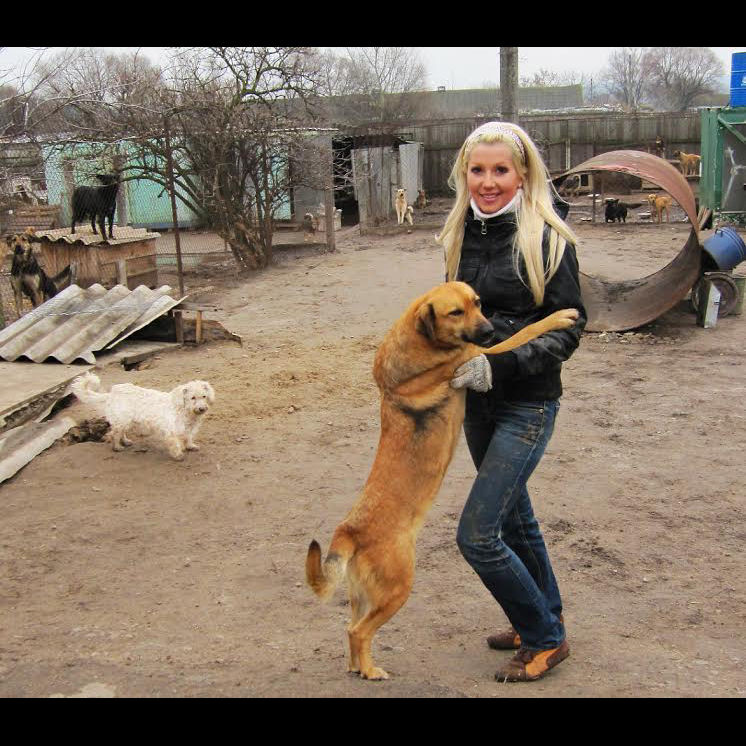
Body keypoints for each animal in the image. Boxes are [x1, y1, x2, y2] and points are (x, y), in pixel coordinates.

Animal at [71, 372, 215, 461]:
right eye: (193, 398)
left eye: (204, 396)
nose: (202, 409)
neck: (183, 409)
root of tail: (112, 393)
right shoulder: (171, 431)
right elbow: (175, 444)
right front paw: (178, 455)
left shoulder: (189, 428)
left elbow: (188, 437)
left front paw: (190, 446)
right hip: (122, 420)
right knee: (115, 434)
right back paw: (117, 447)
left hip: (126, 421)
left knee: (121, 432)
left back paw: (126, 442)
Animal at [306, 281, 579, 680]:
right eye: (455, 313)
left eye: (477, 304)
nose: (489, 329)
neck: (421, 341)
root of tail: (349, 531)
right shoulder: (481, 355)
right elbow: (526, 332)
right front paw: (559, 316)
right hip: (398, 588)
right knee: (359, 631)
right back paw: (372, 671)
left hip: (364, 595)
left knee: (350, 627)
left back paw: (358, 668)